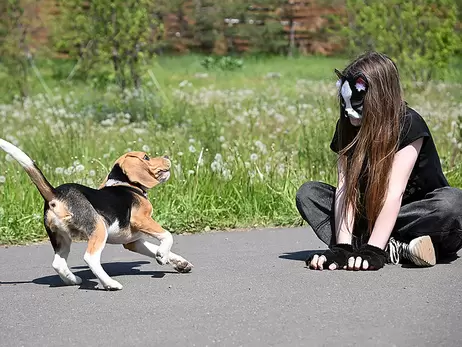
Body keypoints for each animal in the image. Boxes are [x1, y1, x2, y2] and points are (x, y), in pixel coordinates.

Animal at [0, 139, 193, 290]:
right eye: (146, 157)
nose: (167, 157)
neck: (125, 184)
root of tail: (56, 193)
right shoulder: (141, 219)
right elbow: (167, 236)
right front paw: (163, 255)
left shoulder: (132, 241)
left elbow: (157, 249)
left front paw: (178, 262)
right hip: (99, 228)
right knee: (90, 258)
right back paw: (110, 284)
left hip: (61, 237)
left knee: (58, 263)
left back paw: (73, 280)